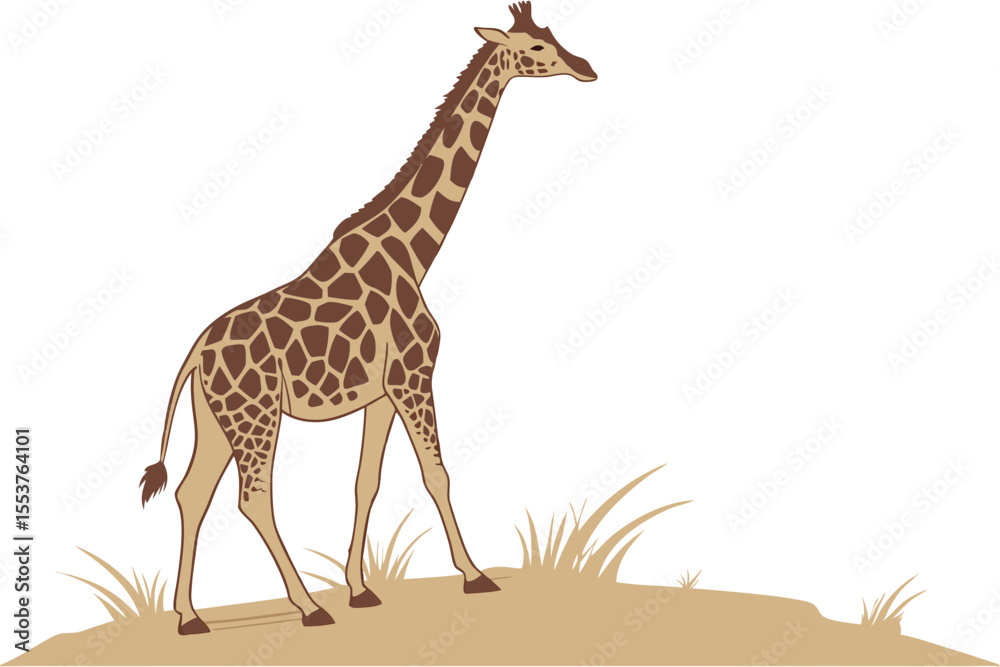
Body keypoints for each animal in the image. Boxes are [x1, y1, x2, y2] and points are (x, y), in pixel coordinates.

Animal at [140, 1, 596, 635]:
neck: (415, 252)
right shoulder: (413, 375)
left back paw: (189, 617)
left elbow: (366, 482)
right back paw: (307, 607)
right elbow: (437, 474)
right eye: (534, 50)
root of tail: (196, 353)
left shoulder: (381, 392)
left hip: (216, 417)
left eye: (553, 35)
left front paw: (360, 589)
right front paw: (474, 575)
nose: (586, 69)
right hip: (256, 415)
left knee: (192, 492)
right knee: (252, 497)